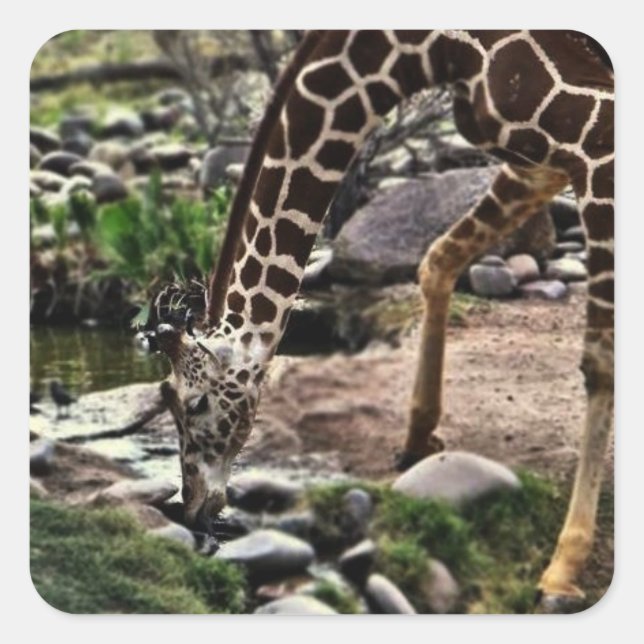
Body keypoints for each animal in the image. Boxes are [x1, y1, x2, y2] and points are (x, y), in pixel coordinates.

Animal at [152, 30, 614, 610]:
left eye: (194, 403)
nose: (192, 507)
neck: (431, 51)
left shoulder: (597, 144)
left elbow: (601, 360)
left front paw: (562, 571)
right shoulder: (539, 162)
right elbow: (438, 259)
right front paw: (418, 439)